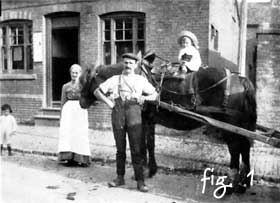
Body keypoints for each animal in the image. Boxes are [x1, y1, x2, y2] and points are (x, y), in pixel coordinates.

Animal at [78, 56, 256, 193]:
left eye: (86, 81)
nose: (81, 102)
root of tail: (239, 79)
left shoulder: (142, 120)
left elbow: (142, 145)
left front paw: (142, 171)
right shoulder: (149, 120)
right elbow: (150, 144)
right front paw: (151, 170)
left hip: (229, 125)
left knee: (235, 149)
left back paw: (231, 185)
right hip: (240, 126)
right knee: (245, 147)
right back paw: (244, 183)